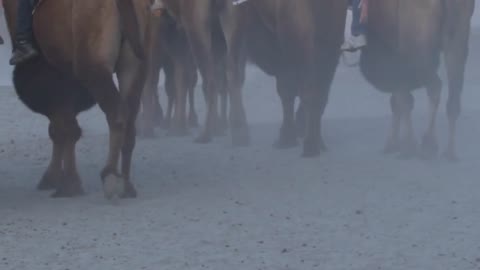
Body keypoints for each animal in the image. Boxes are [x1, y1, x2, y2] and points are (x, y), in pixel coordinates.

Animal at [2, 0, 152, 198]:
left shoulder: (54, 79)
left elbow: (63, 129)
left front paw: (65, 184)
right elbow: (66, 128)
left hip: (94, 70)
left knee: (116, 113)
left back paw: (110, 176)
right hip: (133, 68)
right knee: (130, 116)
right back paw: (126, 185)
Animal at [360, 0, 476, 160]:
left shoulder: (398, 60)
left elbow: (401, 100)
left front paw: (400, 145)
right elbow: (400, 101)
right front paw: (396, 144)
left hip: (420, 52)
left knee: (434, 86)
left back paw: (426, 145)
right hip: (457, 40)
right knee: (453, 96)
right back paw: (449, 152)